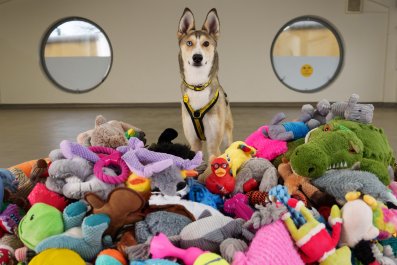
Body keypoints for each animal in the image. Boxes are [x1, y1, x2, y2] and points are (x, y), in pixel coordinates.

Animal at [176, 7, 232, 163]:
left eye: (206, 44)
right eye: (189, 43)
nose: (197, 57)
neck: (198, 86)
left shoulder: (214, 144)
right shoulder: (194, 142)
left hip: (227, 136)